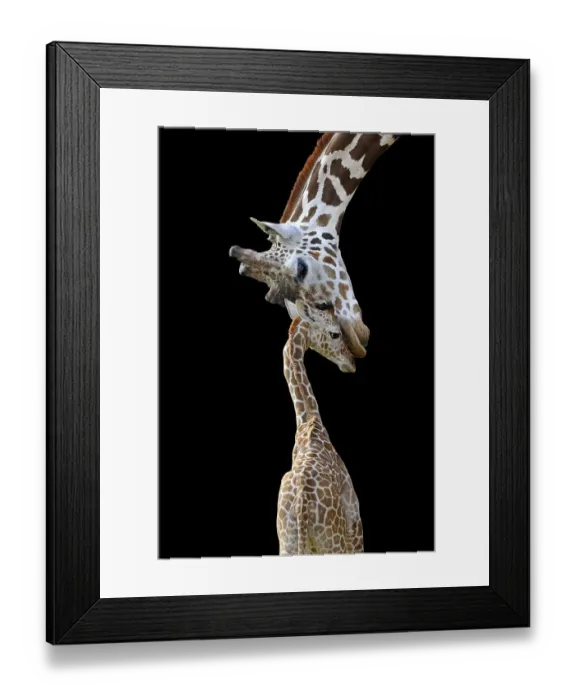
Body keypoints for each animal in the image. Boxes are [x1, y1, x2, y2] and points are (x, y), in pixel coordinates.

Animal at [277, 299, 363, 555]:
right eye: (335, 333)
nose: (350, 363)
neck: (309, 421)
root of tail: (302, 506)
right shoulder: (356, 525)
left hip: (288, 544)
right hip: (335, 543)